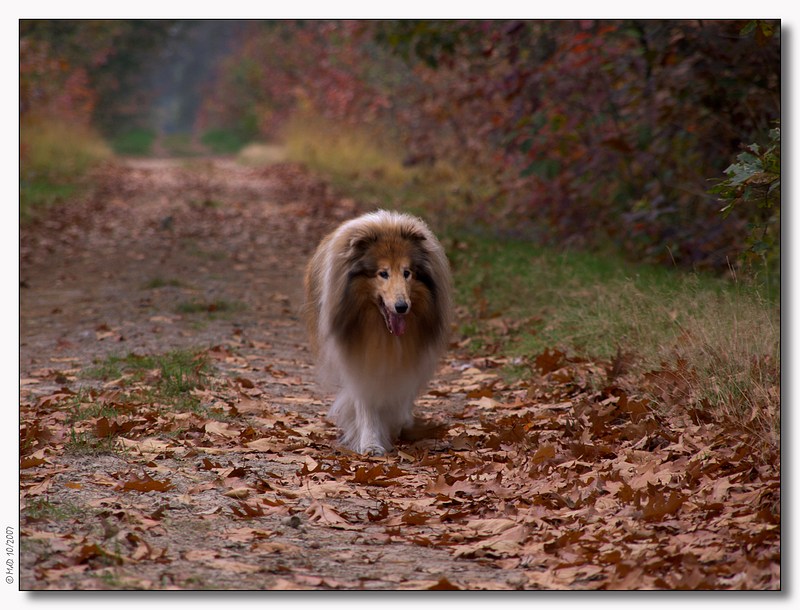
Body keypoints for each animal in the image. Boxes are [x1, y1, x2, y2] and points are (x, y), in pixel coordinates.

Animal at [304, 209, 454, 452]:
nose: (402, 307)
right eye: (383, 273)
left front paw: (396, 424)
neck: (385, 333)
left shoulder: (412, 358)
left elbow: (401, 393)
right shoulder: (359, 359)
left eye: (407, 272)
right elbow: (367, 402)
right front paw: (371, 444)